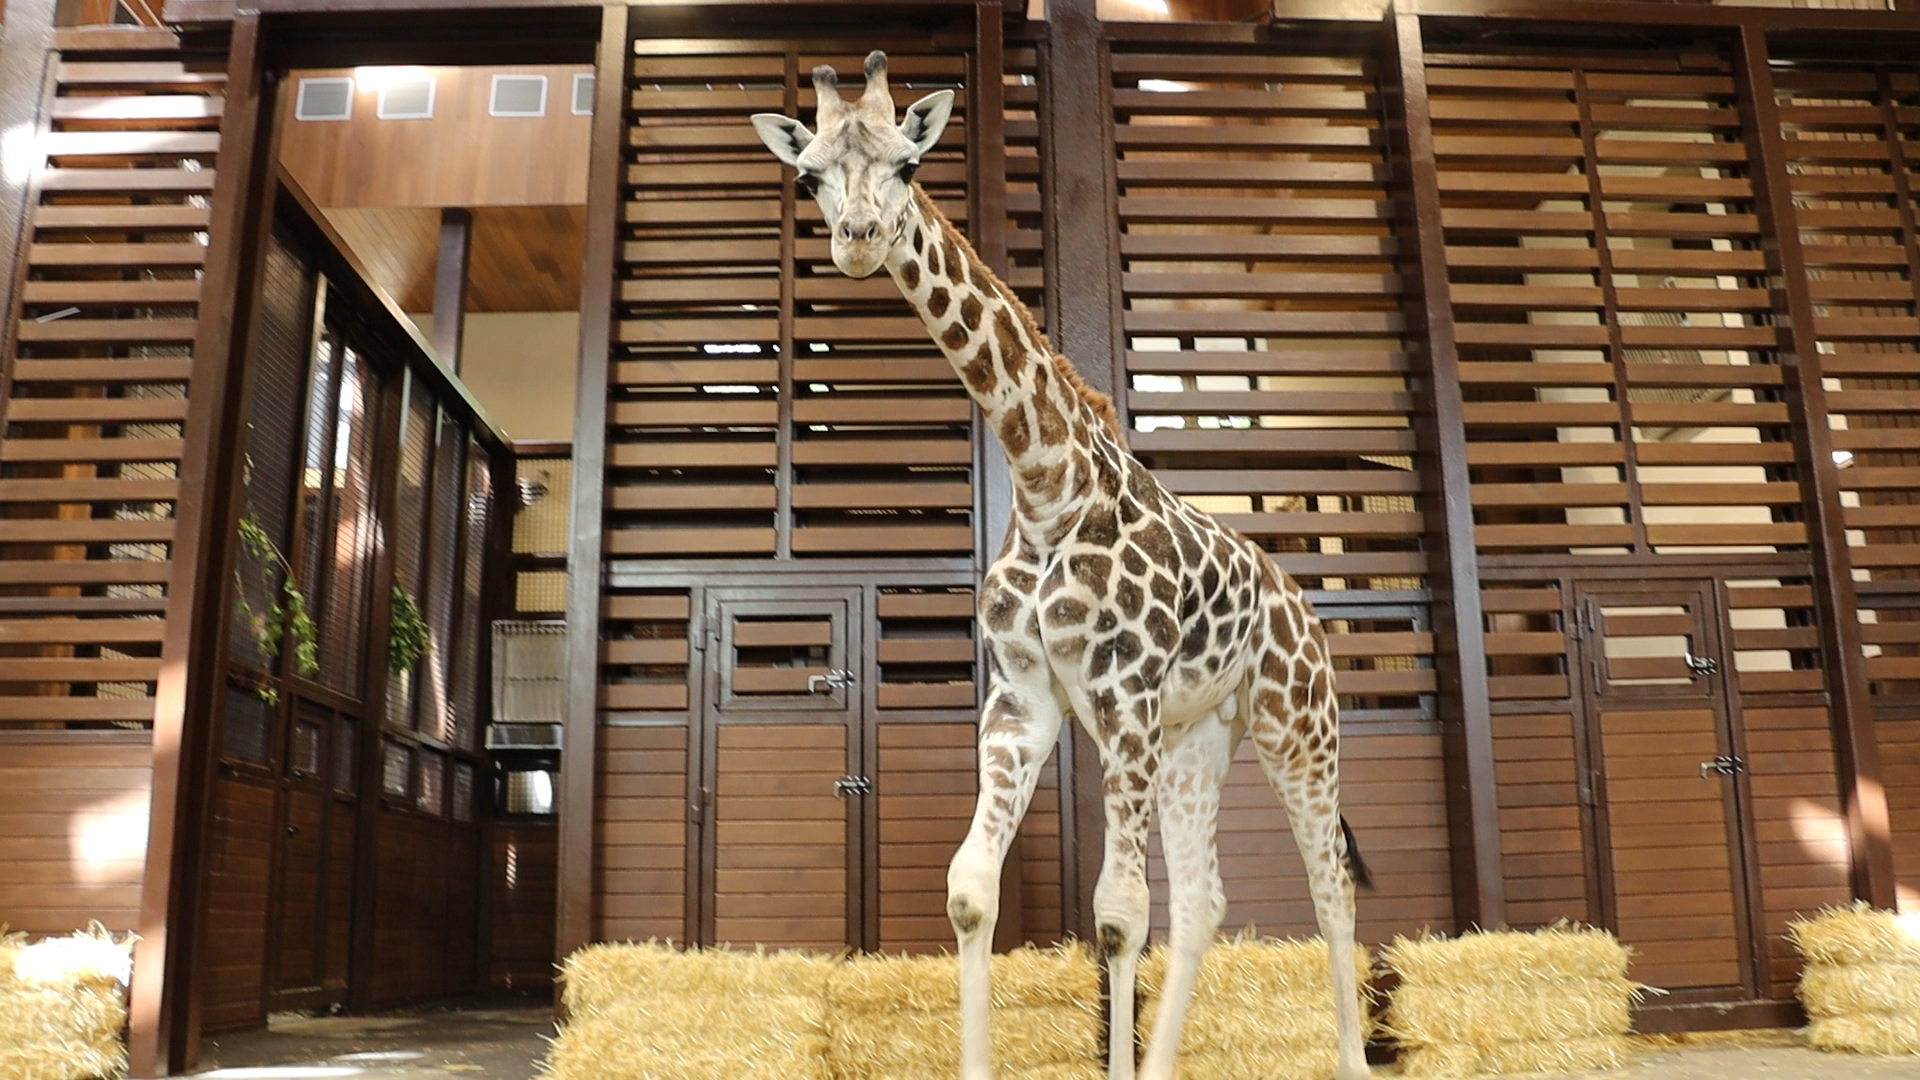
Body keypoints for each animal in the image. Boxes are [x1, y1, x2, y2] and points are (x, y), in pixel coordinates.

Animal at [753, 52, 1372, 1080]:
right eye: (809, 178)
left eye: (909, 165)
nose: (859, 239)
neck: (1049, 486)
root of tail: (1305, 608)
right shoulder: (1026, 696)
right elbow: (972, 891)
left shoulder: (1121, 697)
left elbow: (1118, 916)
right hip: (1197, 740)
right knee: (1205, 902)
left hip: (1299, 729)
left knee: (1331, 887)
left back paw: (1354, 1059)